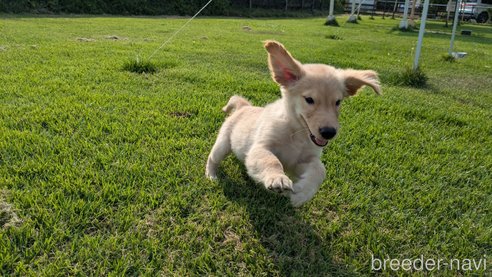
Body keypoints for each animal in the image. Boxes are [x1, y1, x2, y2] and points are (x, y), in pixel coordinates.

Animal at [204, 40, 380, 206]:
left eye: (338, 102)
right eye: (309, 99)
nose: (329, 132)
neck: (297, 134)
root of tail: (244, 106)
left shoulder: (300, 161)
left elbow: (320, 170)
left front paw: (303, 193)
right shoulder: (260, 148)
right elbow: (271, 160)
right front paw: (277, 178)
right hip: (223, 144)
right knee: (212, 158)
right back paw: (211, 175)